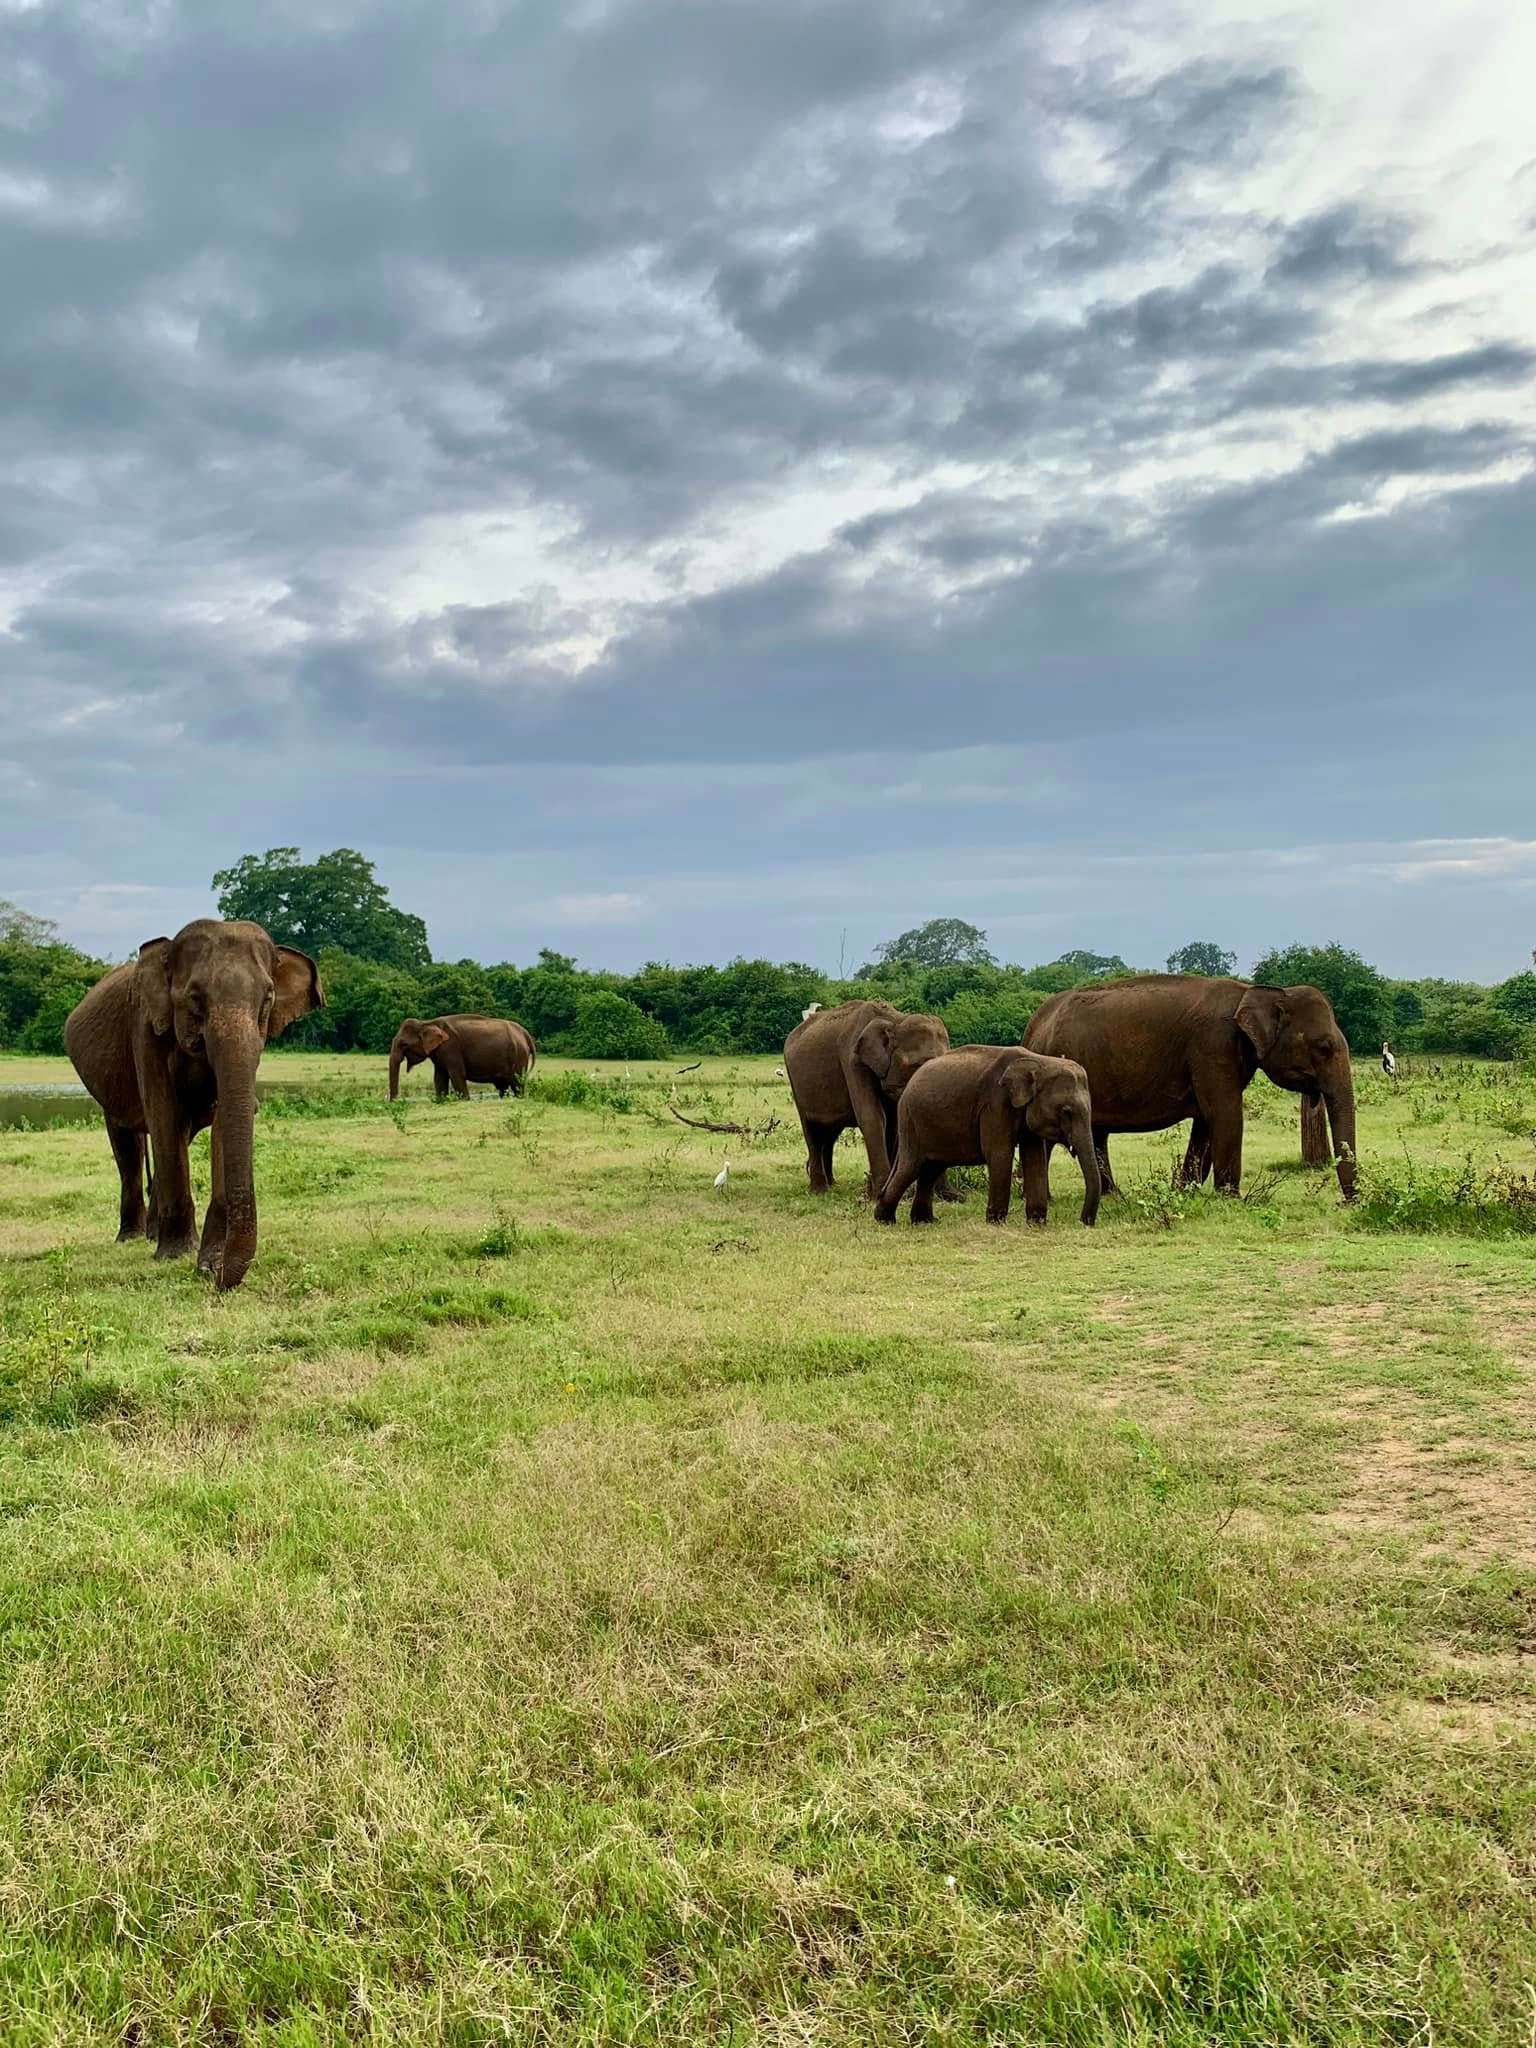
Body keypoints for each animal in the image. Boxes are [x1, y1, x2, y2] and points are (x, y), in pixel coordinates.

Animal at [64, 918, 323, 1290]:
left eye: (268, 999)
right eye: (195, 999)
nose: (214, 1276)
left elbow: (220, 1117)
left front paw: (209, 1258)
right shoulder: (145, 1027)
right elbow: (162, 1111)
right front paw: (176, 1256)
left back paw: (153, 1234)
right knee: (128, 1145)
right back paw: (131, 1238)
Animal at [388, 1014, 536, 1100]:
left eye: (403, 1044)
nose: (394, 1101)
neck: (427, 1023)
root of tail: (525, 1033)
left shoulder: (451, 1048)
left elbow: (457, 1075)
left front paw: (465, 1100)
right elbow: (439, 1078)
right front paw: (441, 1100)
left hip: (519, 1056)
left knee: (517, 1082)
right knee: (502, 1086)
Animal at [783, 998, 953, 1197]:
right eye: (917, 1065)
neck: (895, 1020)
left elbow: (894, 1124)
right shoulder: (853, 1060)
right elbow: (873, 1117)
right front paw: (880, 1194)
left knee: (830, 1134)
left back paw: (832, 1184)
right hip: (795, 1083)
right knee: (812, 1131)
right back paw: (820, 1190)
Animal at [875, 1046, 1100, 1227]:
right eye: (1066, 1112)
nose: (1083, 1222)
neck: (1039, 1061)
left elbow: (1035, 1158)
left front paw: (1037, 1224)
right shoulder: (996, 1103)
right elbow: (1000, 1154)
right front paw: (996, 1223)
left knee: (931, 1168)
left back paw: (924, 1221)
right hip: (911, 1121)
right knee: (911, 1167)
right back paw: (885, 1220)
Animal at [1024, 975, 1357, 1200]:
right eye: (1325, 1048)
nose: (1347, 1203)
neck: (1253, 991)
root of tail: (1032, 1026)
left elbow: (1205, 1123)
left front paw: (1185, 1191)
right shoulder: (1213, 1046)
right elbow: (1225, 1115)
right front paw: (1230, 1198)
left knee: (1096, 1133)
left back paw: (1111, 1195)